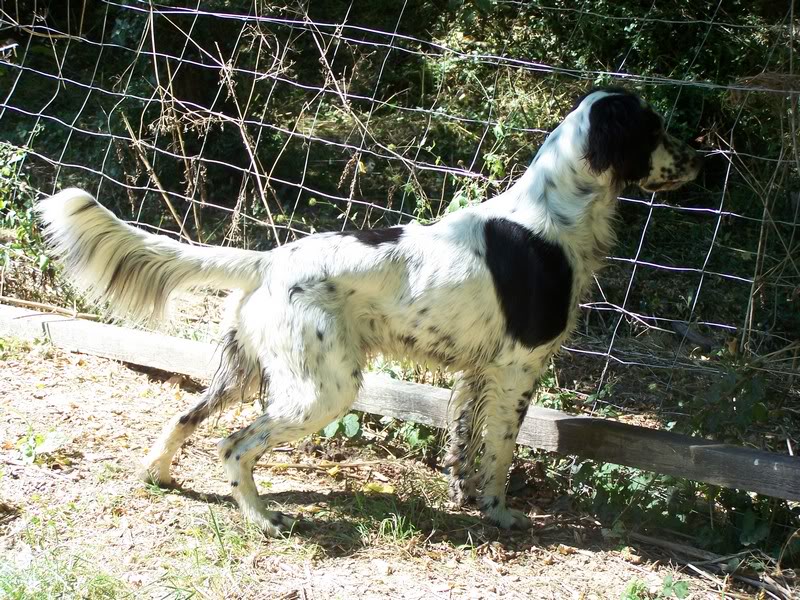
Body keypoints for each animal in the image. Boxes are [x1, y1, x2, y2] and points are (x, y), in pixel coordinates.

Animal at [37, 88, 700, 536]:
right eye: (656, 129)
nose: (704, 158)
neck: (556, 214)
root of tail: (268, 260)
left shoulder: (477, 375)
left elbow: (465, 446)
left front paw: (467, 498)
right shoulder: (518, 370)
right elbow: (500, 453)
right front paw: (501, 514)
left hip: (247, 370)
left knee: (186, 415)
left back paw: (159, 474)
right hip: (323, 389)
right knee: (233, 444)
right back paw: (263, 518)